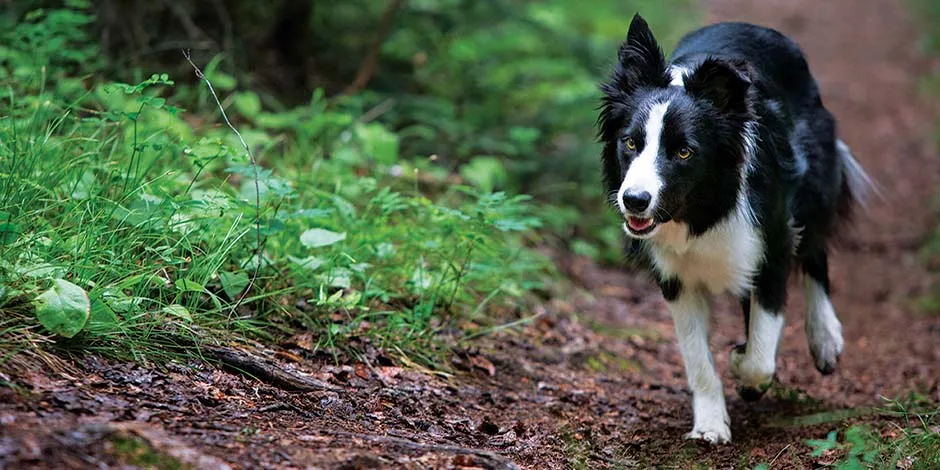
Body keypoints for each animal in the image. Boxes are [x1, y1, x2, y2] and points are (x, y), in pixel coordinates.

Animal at [600, 16, 872, 444]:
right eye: (629, 142)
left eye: (684, 152)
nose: (635, 200)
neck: (701, 211)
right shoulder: (676, 278)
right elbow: (698, 360)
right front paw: (711, 425)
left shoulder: (770, 245)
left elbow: (761, 356)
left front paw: (742, 365)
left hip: (812, 180)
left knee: (814, 249)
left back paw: (825, 338)